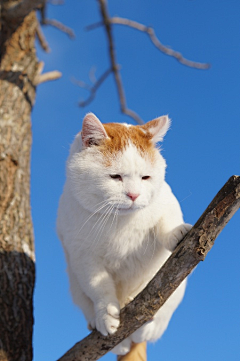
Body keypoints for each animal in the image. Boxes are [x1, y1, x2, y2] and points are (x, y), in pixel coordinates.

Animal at [56, 112, 191, 354]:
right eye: (115, 177)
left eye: (145, 177)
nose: (134, 195)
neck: (119, 222)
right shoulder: (83, 258)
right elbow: (99, 289)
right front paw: (105, 315)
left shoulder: (167, 203)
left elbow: (166, 224)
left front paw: (177, 232)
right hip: (75, 286)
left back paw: (144, 317)